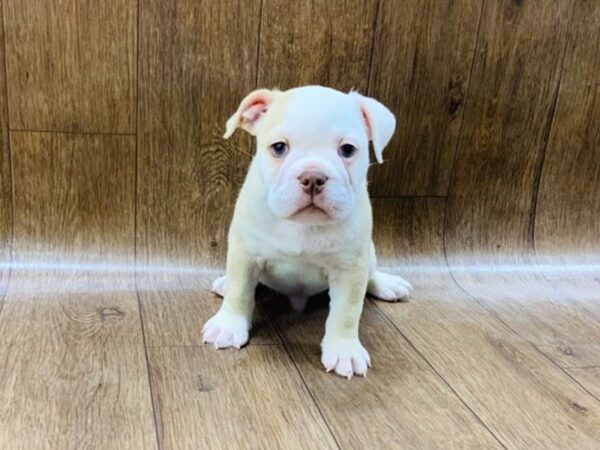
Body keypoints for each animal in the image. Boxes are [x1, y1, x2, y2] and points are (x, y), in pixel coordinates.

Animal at [202, 86, 412, 378]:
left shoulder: (350, 268)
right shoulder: (245, 253)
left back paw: (386, 284)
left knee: (370, 274)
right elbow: (240, 289)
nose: (313, 177)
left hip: (368, 254)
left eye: (347, 149)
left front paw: (344, 350)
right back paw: (223, 282)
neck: (303, 225)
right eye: (279, 147)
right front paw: (228, 325)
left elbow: (347, 311)